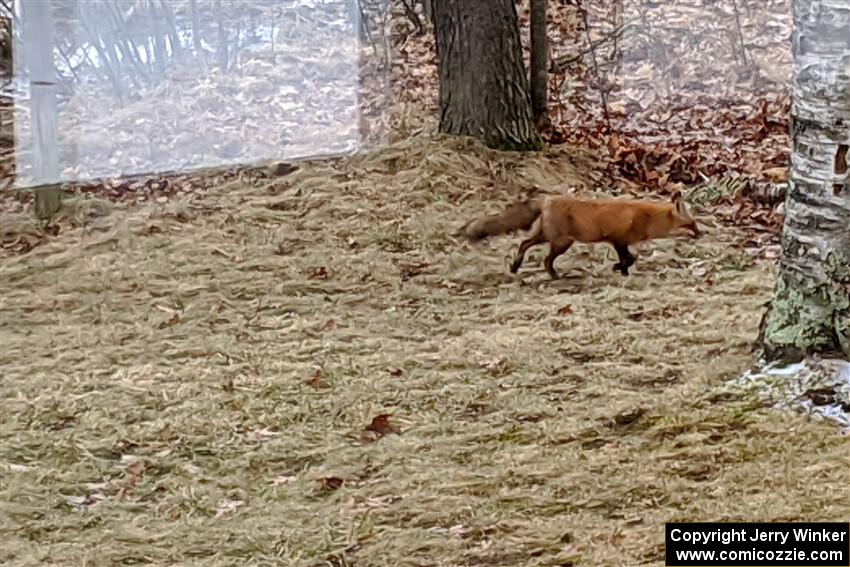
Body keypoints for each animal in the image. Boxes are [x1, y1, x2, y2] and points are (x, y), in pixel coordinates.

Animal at [460, 191, 700, 280]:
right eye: (692, 225)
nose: (702, 234)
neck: (646, 218)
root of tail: (547, 199)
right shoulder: (618, 239)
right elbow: (629, 258)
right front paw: (619, 269)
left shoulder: (620, 242)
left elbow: (629, 259)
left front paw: (621, 271)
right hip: (560, 241)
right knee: (541, 256)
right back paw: (551, 275)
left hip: (550, 238)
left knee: (525, 244)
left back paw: (517, 267)